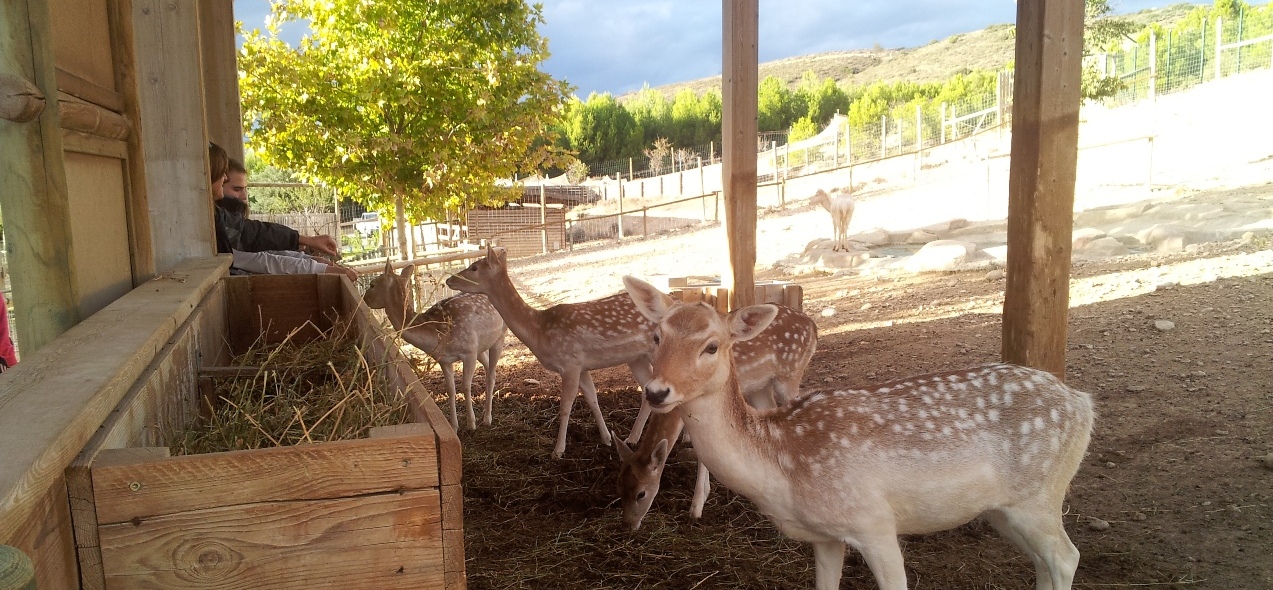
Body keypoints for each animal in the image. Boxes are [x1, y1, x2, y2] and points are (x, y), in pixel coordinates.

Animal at [361, 263, 504, 430]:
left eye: (372, 284)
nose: (364, 298)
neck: (438, 334)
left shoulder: (469, 351)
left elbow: (465, 386)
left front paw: (471, 424)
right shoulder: (444, 359)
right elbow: (451, 390)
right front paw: (454, 426)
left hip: (500, 336)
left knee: (491, 373)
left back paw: (487, 418)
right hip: (481, 346)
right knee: (488, 367)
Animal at [443, 247, 651, 458]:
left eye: (474, 267)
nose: (449, 280)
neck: (539, 332)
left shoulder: (569, 363)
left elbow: (565, 406)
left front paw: (558, 451)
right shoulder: (582, 366)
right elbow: (592, 399)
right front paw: (607, 439)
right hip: (637, 357)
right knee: (646, 390)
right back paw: (632, 439)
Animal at [613, 300, 814, 530]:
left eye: (641, 493)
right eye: (618, 487)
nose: (628, 525)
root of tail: (813, 326)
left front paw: (697, 507)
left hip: (790, 376)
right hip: (760, 387)